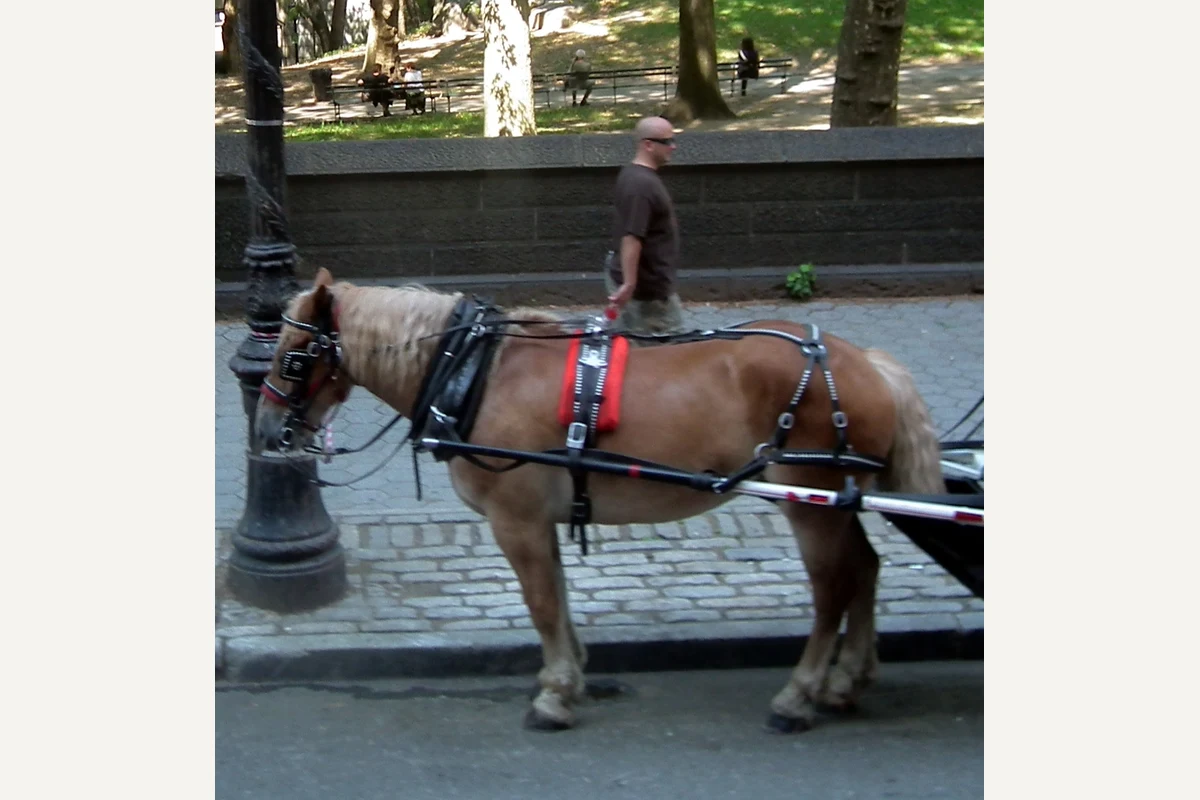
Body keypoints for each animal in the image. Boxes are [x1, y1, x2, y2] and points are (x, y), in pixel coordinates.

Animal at [253, 268, 946, 733]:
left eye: (294, 357)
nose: (265, 431)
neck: (476, 370)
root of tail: (867, 362)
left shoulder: (517, 519)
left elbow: (540, 603)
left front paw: (555, 693)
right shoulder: (541, 518)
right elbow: (557, 596)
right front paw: (573, 673)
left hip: (810, 498)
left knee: (835, 586)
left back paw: (800, 694)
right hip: (834, 499)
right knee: (865, 569)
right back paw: (847, 680)